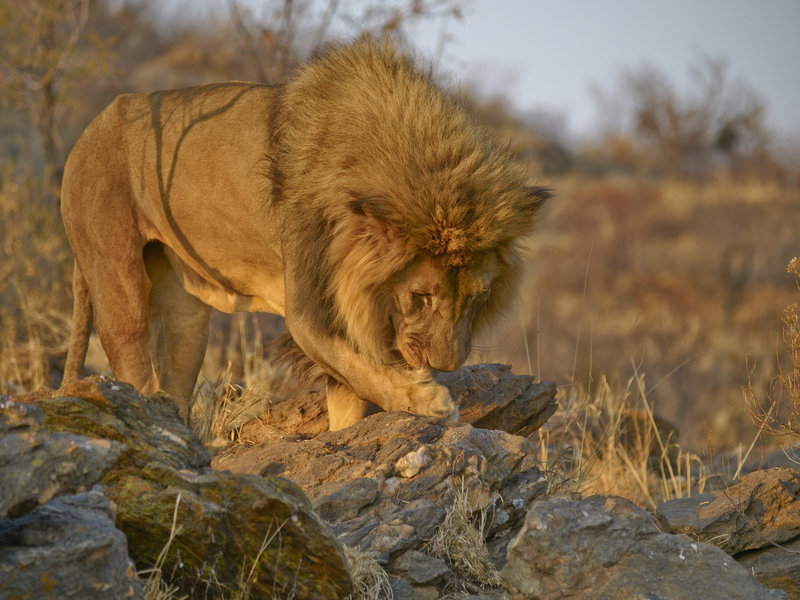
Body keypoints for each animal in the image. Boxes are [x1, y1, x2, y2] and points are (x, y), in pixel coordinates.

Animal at [60, 39, 549, 430]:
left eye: (480, 297)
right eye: (421, 297)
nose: (447, 365)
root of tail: (83, 136)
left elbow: (350, 396)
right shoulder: (308, 311)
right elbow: (359, 366)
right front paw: (427, 400)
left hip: (185, 311)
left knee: (175, 380)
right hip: (116, 279)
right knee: (134, 367)